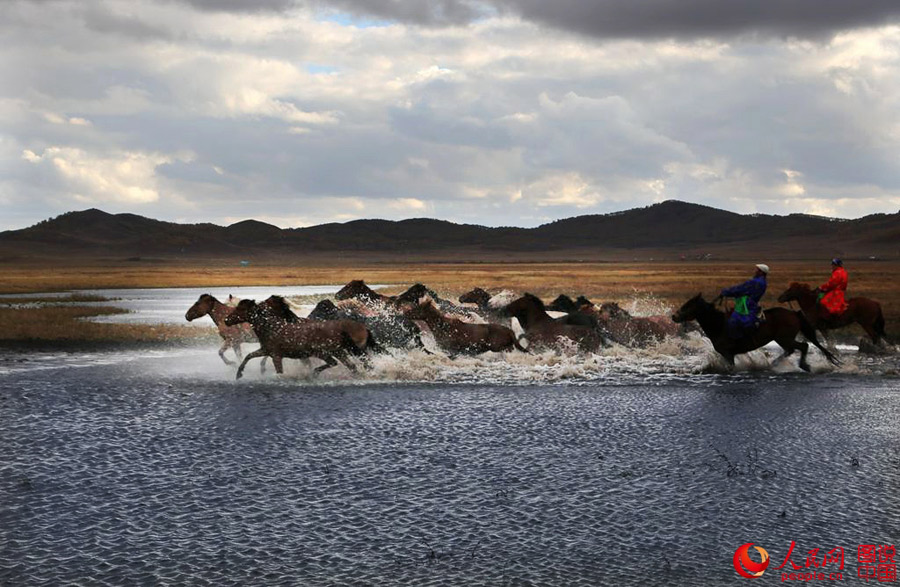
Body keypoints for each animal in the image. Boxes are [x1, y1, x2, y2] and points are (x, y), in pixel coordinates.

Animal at [672, 294, 840, 372]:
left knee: (803, 346)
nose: (674, 316)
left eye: (687, 305)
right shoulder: (727, 354)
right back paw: (773, 364)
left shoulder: (728, 353)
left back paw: (803, 365)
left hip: (784, 338)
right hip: (782, 339)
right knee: (791, 350)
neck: (718, 325)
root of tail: (794, 313)